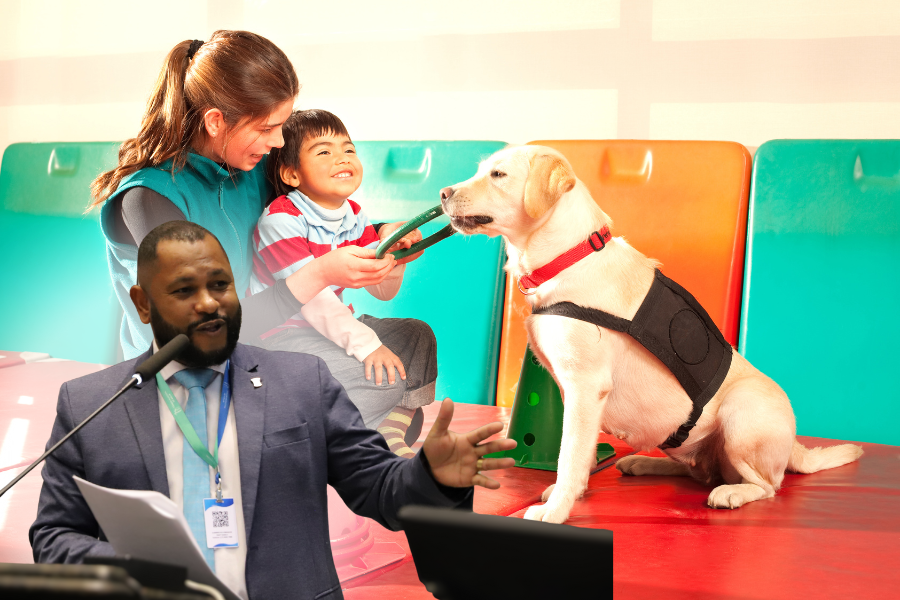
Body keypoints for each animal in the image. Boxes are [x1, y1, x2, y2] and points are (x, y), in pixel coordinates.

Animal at [440, 145, 863, 524]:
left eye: (498, 175)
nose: (442, 193)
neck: (568, 257)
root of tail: (795, 446)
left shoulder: (584, 387)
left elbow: (569, 454)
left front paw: (557, 508)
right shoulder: (571, 391)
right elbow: (580, 453)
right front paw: (573, 492)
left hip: (740, 418)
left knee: (767, 486)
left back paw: (732, 492)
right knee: (698, 470)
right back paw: (642, 462)